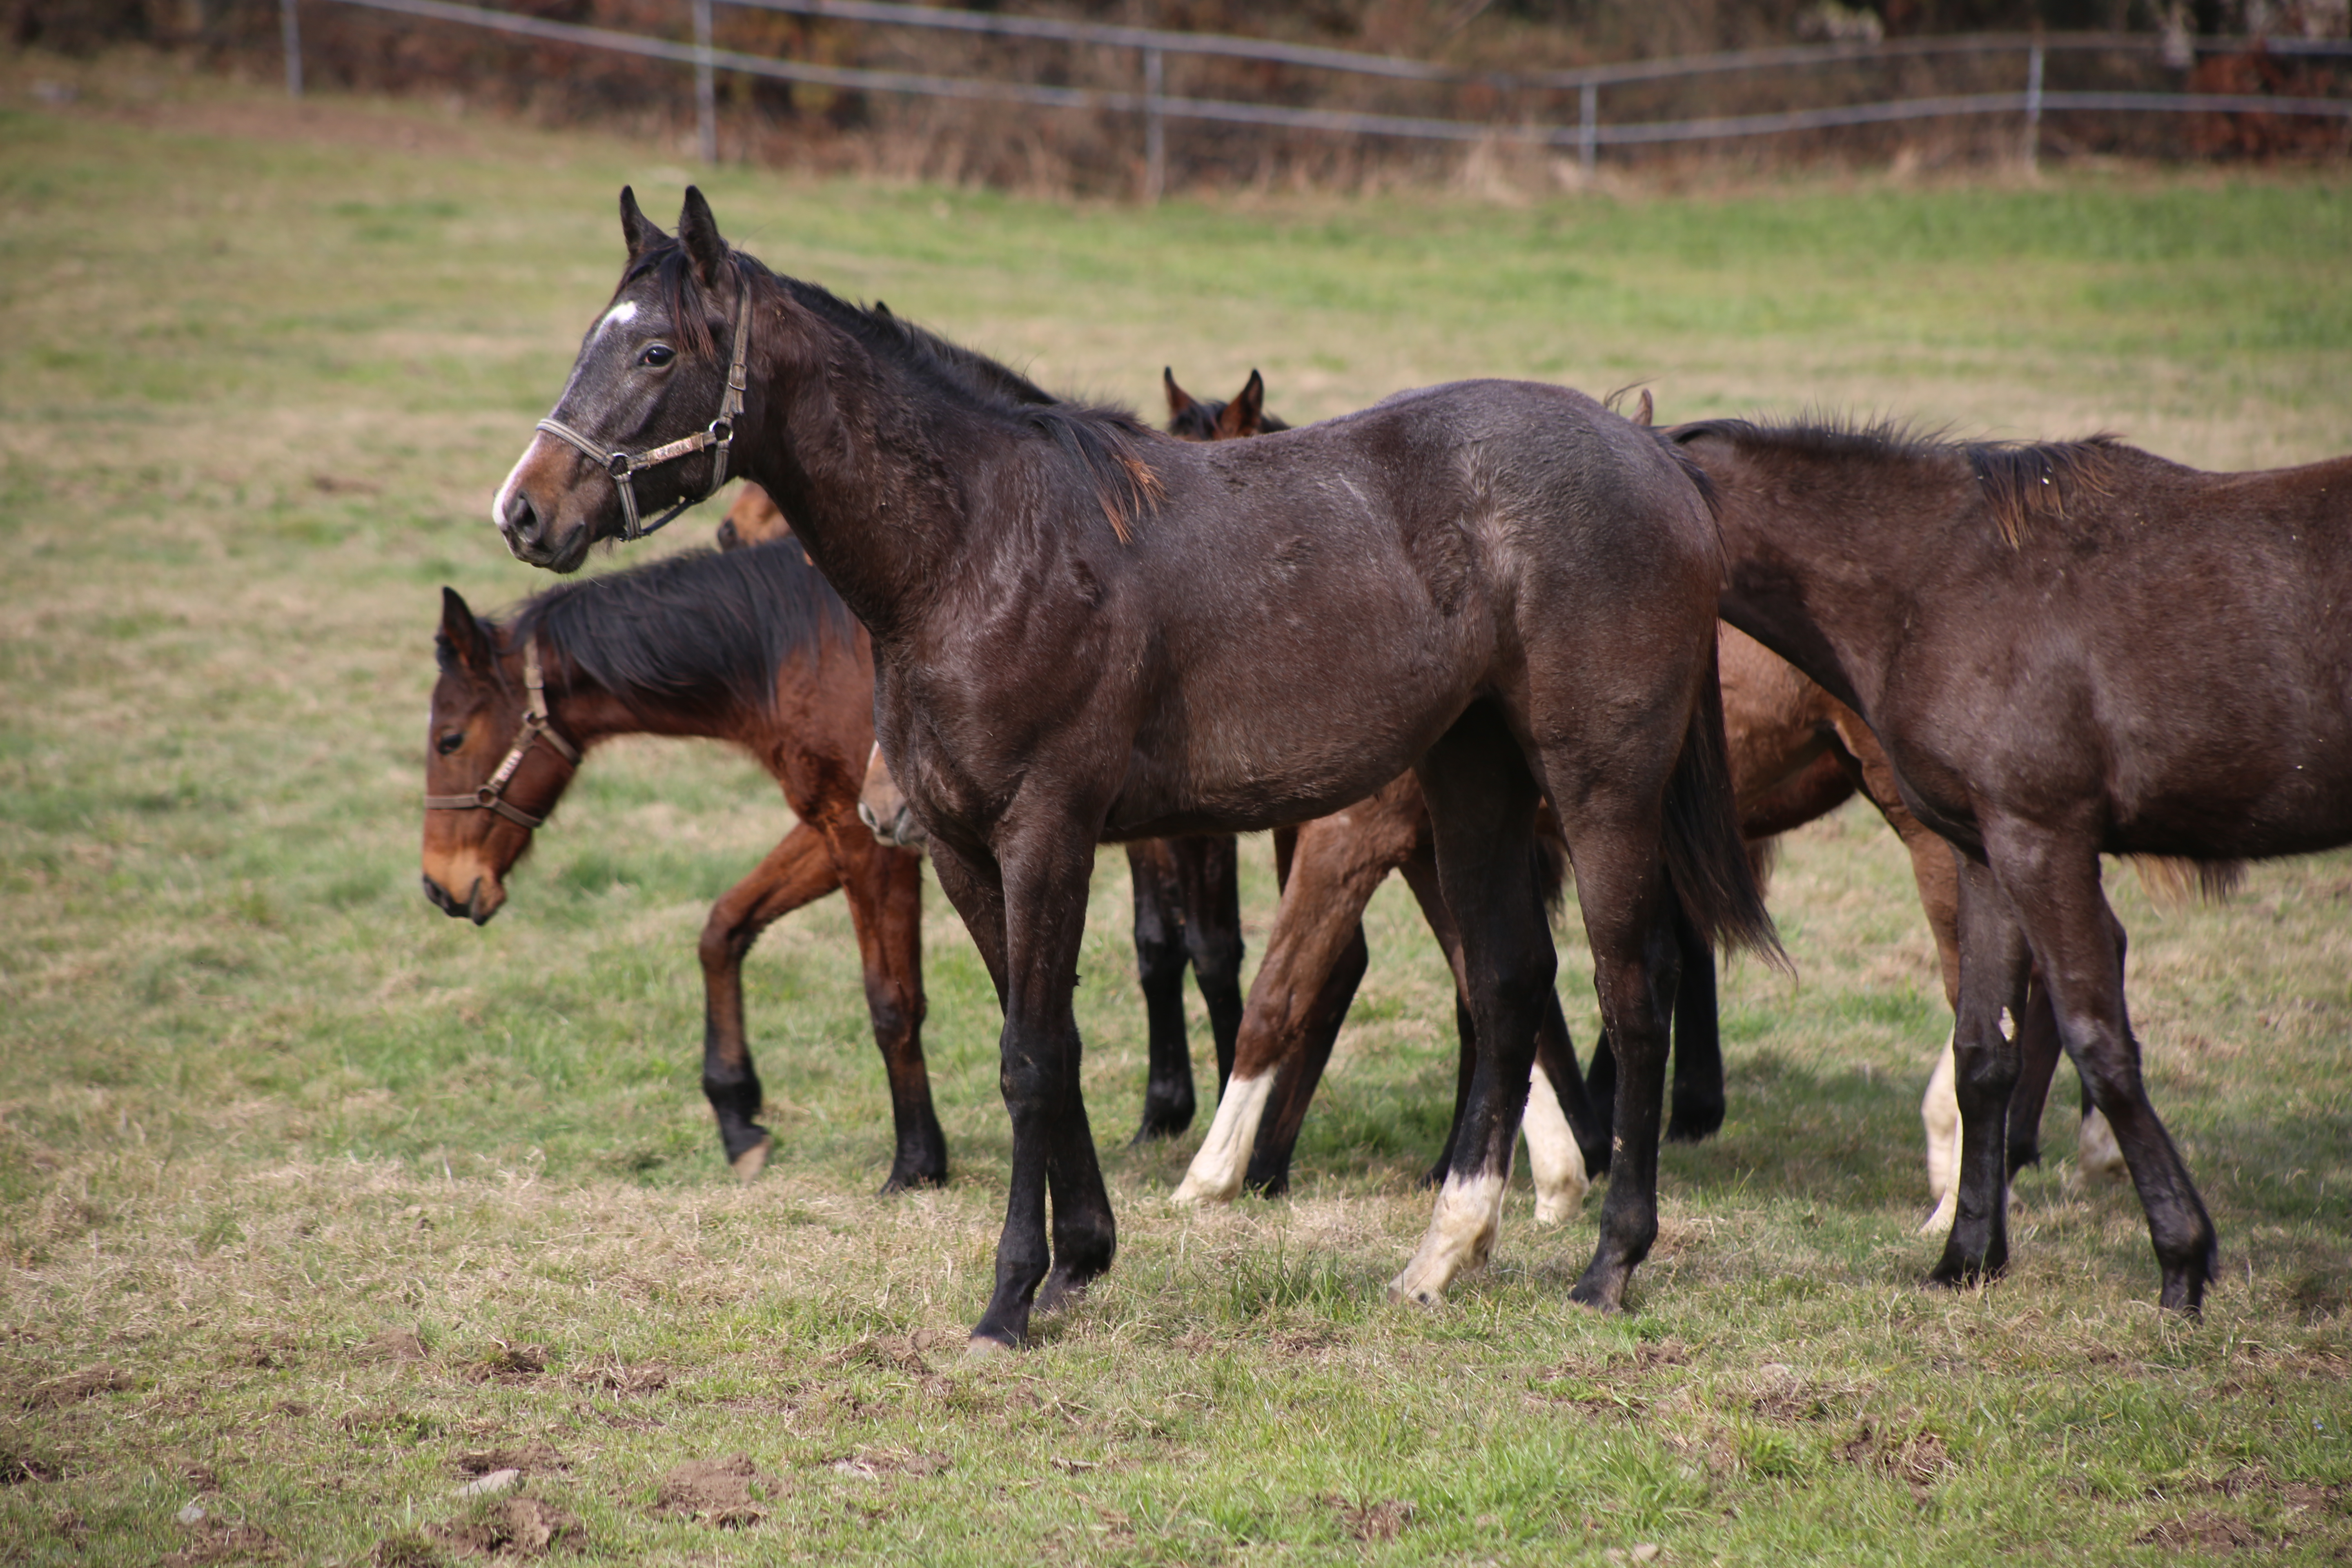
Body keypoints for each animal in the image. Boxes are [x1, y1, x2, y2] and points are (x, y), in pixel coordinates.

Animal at [419, 541, 941, 1189]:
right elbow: (724, 928)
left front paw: (918, 1160)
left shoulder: (875, 838)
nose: (438, 886)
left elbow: (893, 1001)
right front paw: (736, 1116)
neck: (801, 650)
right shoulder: (842, 823)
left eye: (450, 740)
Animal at [501, 190, 1778, 1354]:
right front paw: (1080, 1263)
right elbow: (1049, 1040)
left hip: (1601, 790)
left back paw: (1610, 1264)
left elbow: (1028, 1059)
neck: (977, 549)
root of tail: (1653, 457)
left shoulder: (1046, 834)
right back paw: (1439, 1260)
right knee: (1509, 986)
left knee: (1632, 988)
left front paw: (1012, 1299)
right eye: (590, 340)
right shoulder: (963, 850)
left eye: (656, 351)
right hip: (1475, 783)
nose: (523, 511)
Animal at [1675, 414, 2333, 1316]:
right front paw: (1968, 1257)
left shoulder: (2038, 836)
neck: (1936, 582)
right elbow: (1984, 1049)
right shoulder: (1984, 847)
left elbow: (2101, 1040)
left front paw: (2182, 1264)